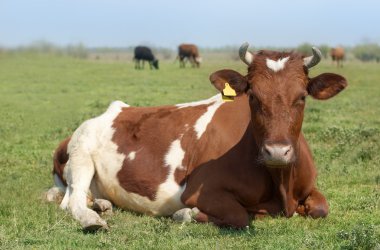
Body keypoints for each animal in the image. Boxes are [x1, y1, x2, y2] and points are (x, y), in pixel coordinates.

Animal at [48, 42, 348, 230]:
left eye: (302, 97)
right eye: (252, 95)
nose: (276, 151)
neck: (281, 184)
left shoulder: (308, 189)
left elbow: (322, 208)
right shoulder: (202, 191)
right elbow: (239, 216)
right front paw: (185, 214)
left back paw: (102, 205)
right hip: (81, 156)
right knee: (73, 201)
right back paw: (93, 219)